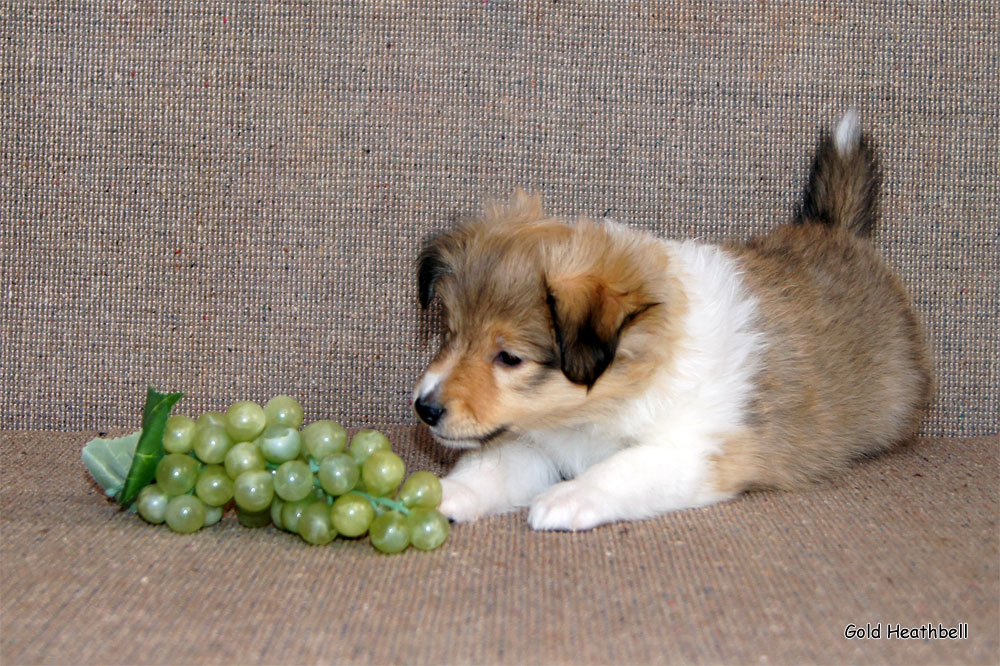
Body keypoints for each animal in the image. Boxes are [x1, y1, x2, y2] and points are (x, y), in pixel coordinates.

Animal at [410, 113, 932, 528]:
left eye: (509, 358)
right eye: (450, 334)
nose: (425, 409)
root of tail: (833, 228)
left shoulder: (698, 451)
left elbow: (622, 468)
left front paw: (570, 497)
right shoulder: (536, 439)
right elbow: (492, 466)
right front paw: (446, 494)